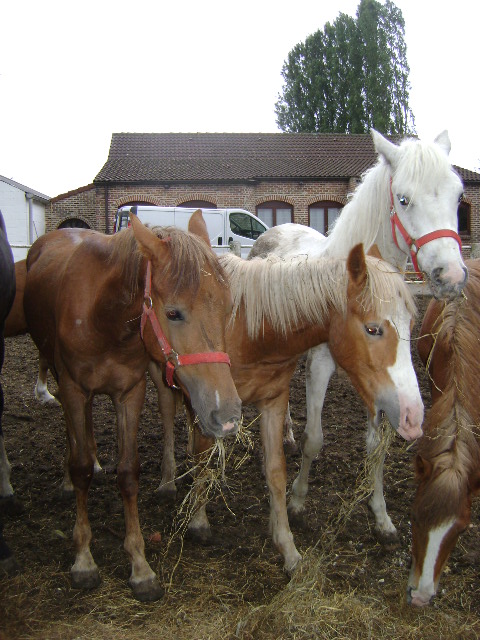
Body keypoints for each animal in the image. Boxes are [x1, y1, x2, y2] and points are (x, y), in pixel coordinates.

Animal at [22, 211, 240, 600]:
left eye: (228, 306)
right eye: (173, 313)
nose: (227, 415)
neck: (103, 316)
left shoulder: (131, 393)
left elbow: (128, 473)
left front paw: (140, 566)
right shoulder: (73, 389)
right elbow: (80, 468)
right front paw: (84, 560)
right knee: (73, 436)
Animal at [152, 242, 422, 572]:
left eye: (411, 324)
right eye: (373, 329)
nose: (413, 417)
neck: (245, 328)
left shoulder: (273, 401)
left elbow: (275, 471)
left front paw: (287, 547)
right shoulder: (206, 406)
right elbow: (204, 460)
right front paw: (199, 521)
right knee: (167, 418)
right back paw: (168, 481)